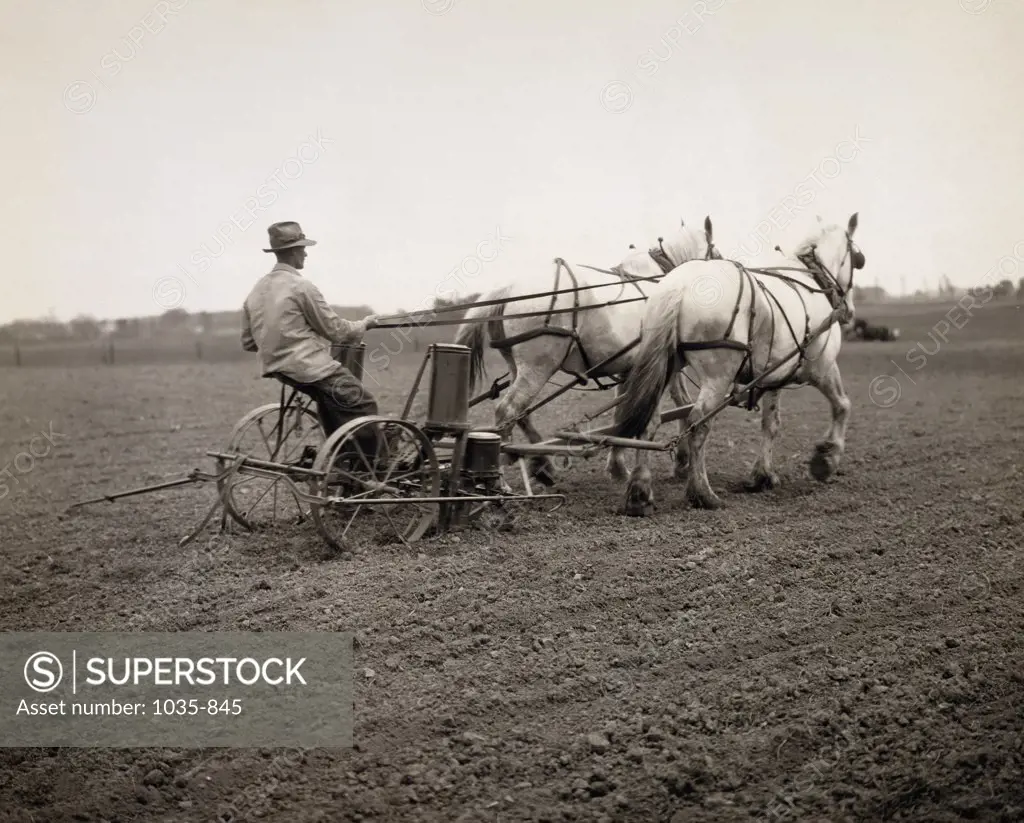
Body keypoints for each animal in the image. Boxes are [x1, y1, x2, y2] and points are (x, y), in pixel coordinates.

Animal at [456, 220, 720, 489]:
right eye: (715, 252)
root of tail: (508, 287)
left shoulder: (630, 369)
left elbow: (622, 415)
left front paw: (618, 467)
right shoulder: (665, 366)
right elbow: (680, 404)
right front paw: (681, 462)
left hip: (516, 366)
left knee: (520, 414)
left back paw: (543, 465)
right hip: (538, 368)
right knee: (507, 410)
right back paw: (500, 481)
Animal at [610, 211, 868, 511]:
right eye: (858, 260)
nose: (849, 312)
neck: (812, 281)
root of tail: (680, 285)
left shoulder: (773, 377)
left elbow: (771, 424)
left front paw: (763, 475)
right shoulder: (822, 367)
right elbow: (842, 406)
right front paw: (826, 459)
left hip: (666, 367)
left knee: (650, 422)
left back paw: (640, 491)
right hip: (718, 375)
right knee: (699, 423)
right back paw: (702, 492)